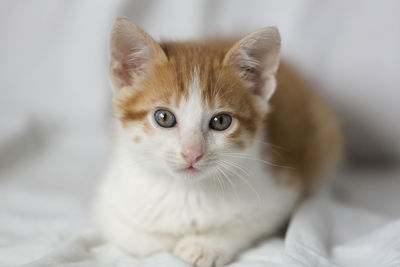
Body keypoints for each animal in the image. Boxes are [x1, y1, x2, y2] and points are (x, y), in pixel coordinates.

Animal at [94, 17, 340, 266]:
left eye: (221, 121)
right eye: (164, 117)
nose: (192, 153)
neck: (187, 192)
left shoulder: (280, 192)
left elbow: (248, 223)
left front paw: (205, 245)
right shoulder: (109, 200)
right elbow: (137, 238)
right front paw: (166, 240)